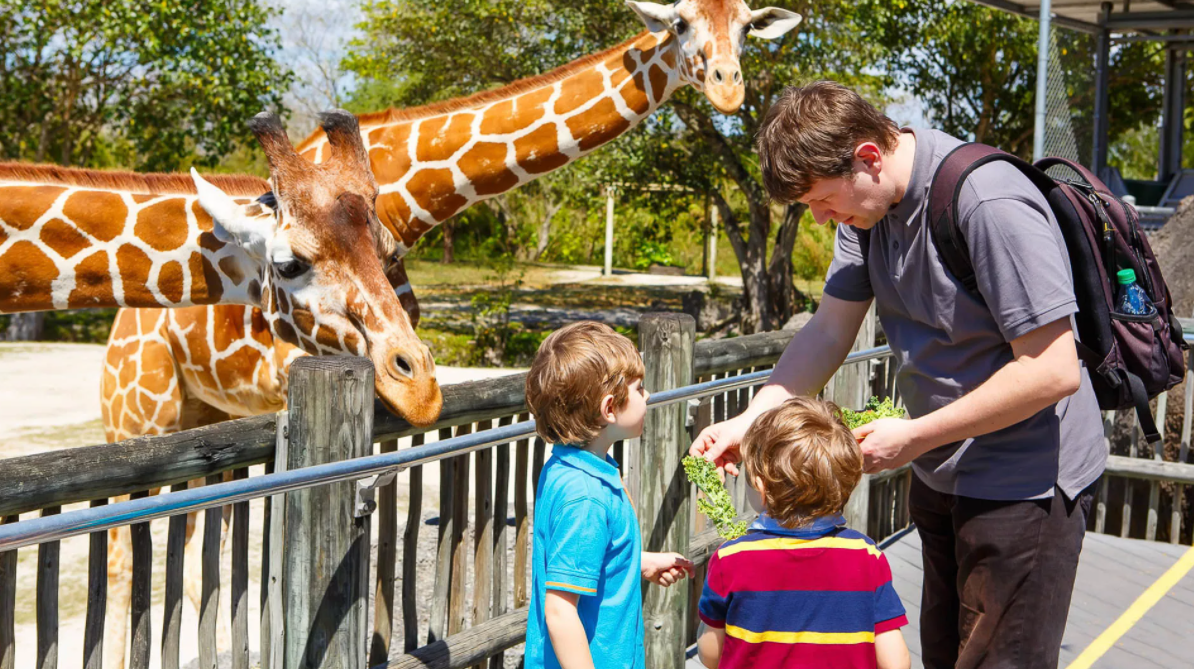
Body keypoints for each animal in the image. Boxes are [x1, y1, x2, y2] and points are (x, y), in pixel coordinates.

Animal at [95, 3, 802, 664]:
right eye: (681, 23)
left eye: (746, 26)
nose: (730, 88)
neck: (412, 193)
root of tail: (122, 328)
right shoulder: (301, 363)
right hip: (138, 413)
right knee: (126, 547)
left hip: (203, 411)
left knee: (192, 537)